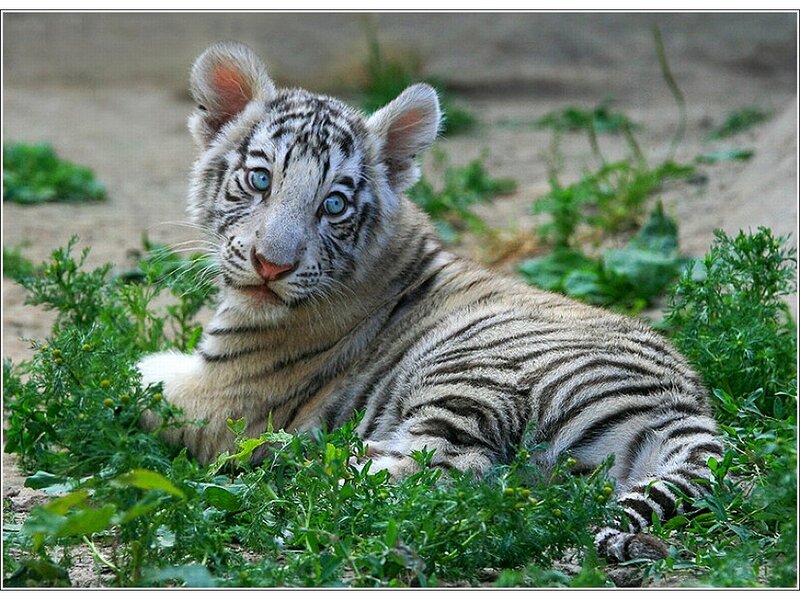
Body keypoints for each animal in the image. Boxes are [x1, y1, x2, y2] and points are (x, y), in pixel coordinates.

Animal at [137, 41, 724, 563]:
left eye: (334, 205)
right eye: (260, 179)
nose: (271, 265)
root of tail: (689, 408)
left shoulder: (222, 397)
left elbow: (137, 380)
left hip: (472, 373)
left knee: (451, 472)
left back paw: (302, 467)